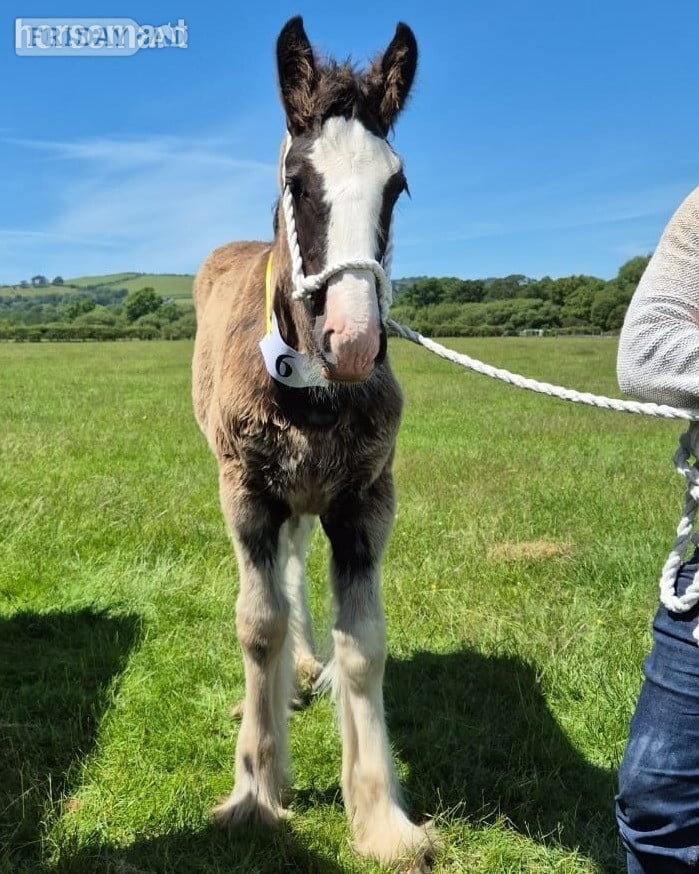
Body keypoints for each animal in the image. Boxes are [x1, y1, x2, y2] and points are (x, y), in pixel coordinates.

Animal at [192, 16, 434, 868]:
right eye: (297, 181)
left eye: (397, 186)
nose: (353, 340)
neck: (309, 391)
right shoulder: (246, 493)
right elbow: (255, 623)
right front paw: (255, 792)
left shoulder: (364, 500)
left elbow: (361, 643)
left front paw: (382, 818)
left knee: (295, 563)